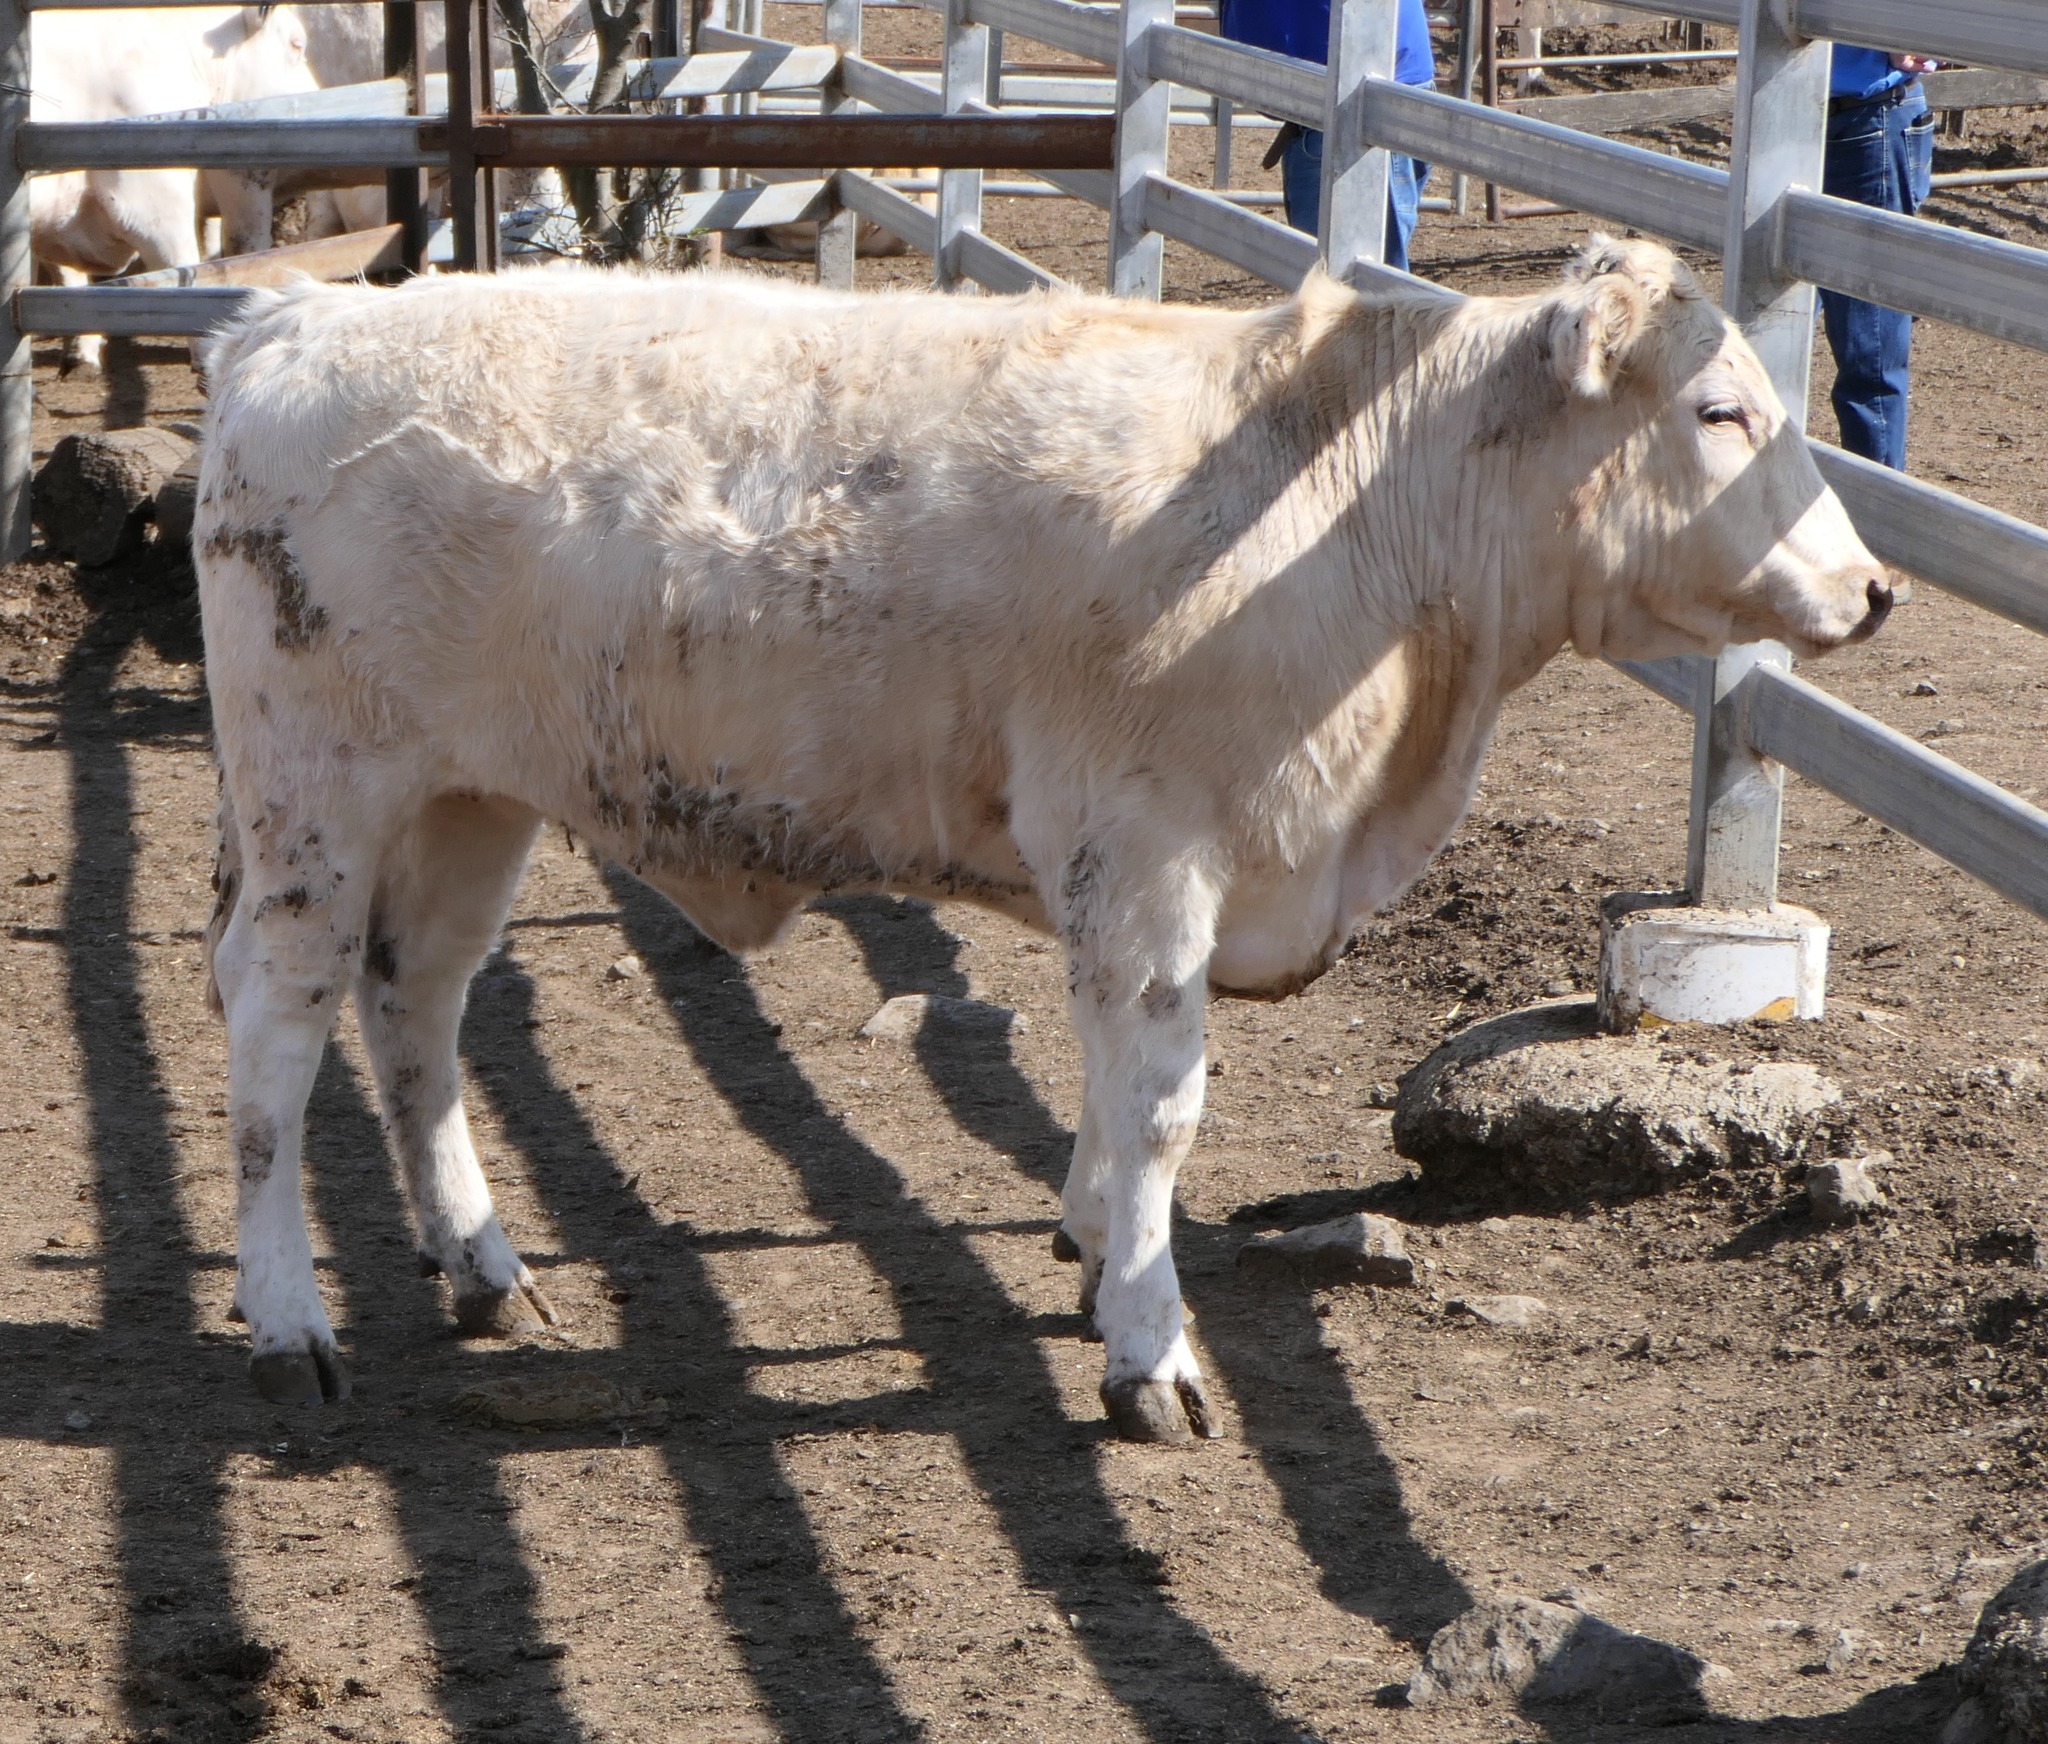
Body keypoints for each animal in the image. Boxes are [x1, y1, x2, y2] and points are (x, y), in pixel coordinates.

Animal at [194, 239, 1891, 1440]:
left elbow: (1106, 1088)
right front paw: (1149, 1350)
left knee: (416, 1008)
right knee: (277, 1029)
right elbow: (1159, 1107)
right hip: (312, 798)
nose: (1874, 589)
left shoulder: (1128, 881)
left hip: (469, 799)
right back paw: (288, 1326)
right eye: (1721, 412)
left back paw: (483, 1267)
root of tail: (296, 325)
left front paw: (1088, 1248)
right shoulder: (1148, 854)